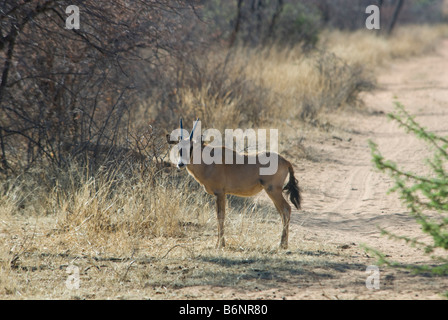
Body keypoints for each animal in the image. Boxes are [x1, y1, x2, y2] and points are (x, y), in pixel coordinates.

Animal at [167, 119, 300, 249]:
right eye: (178, 147)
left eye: (191, 147)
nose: (180, 164)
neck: (208, 161)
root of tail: (285, 161)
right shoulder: (221, 194)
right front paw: (220, 243)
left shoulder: (220, 193)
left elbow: (220, 215)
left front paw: (220, 244)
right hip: (272, 193)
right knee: (282, 212)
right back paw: (283, 243)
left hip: (273, 190)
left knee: (286, 209)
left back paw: (282, 245)